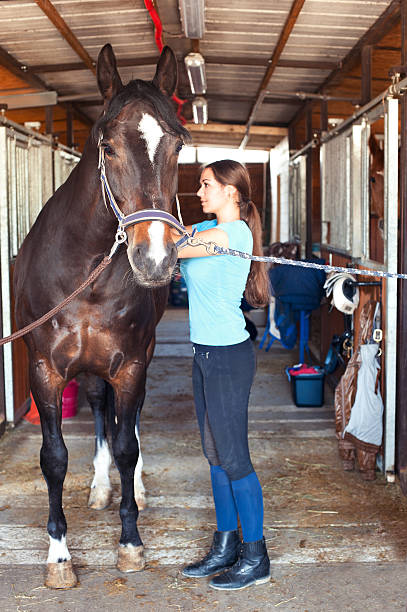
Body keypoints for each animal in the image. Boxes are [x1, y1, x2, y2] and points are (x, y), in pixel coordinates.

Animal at [13, 43, 189, 588]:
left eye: (178, 145)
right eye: (107, 147)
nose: (154, 259)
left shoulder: (130, 364)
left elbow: (127, 443)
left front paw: (130, 542)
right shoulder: (45, 371)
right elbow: (53, 458)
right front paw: (59, 557)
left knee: (125, 424)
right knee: (96, 409)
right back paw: (98, 487)